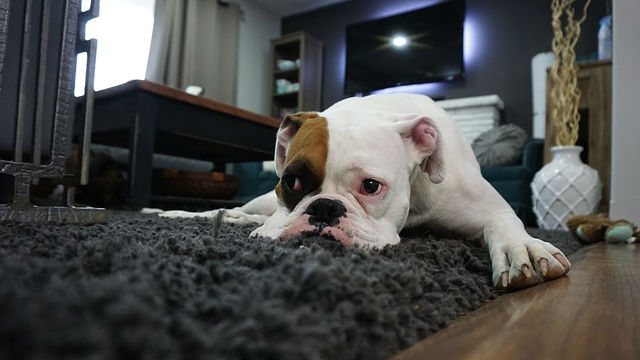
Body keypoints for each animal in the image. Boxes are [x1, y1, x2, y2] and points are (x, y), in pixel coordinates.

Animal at [160, 93, 568, 290]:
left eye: (371, 186)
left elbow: (505, 224)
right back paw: (177, 213)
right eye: (291, 182)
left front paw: (523, 250)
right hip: (259, 202)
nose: (324, 208)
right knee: (238, 211)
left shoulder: (492, 208)